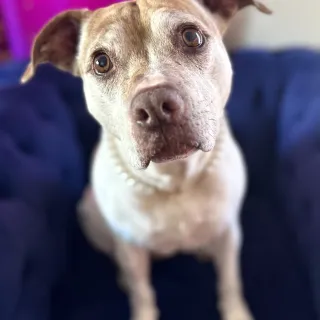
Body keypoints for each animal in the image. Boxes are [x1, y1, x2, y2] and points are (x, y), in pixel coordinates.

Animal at [20, 1, 272, 318]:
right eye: (101, 62)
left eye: (191, 36)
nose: (154, 105)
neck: (174, 180)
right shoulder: (131, 245)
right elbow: (143, 293)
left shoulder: (229, 233)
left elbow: (229, 282)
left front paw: (236, 311)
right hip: (90, 214)